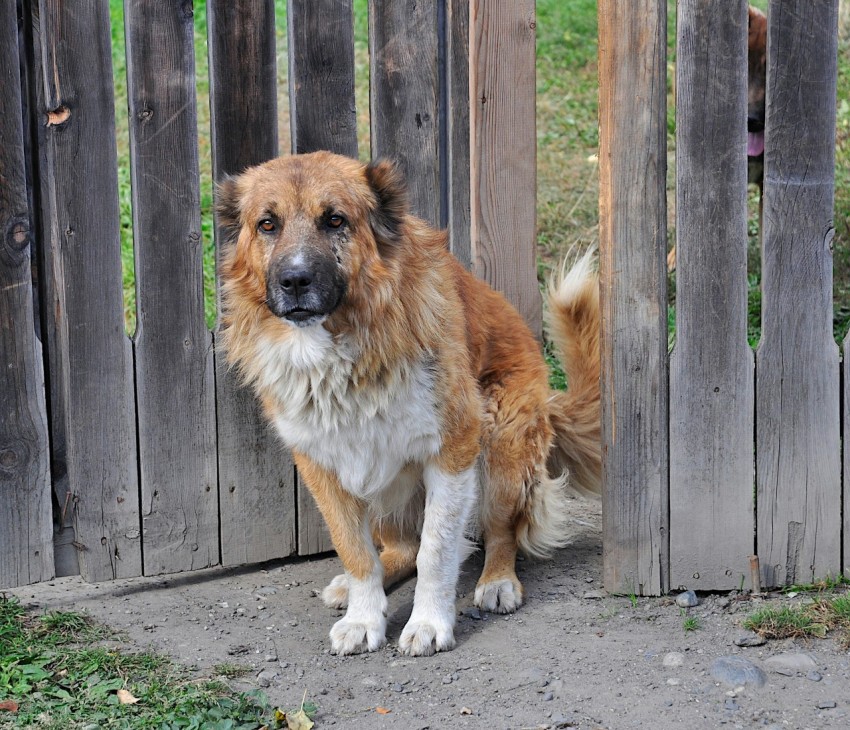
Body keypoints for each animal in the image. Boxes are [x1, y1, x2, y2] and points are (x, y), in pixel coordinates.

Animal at [219, 152, 604, 656]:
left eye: (335, 220)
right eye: (267, 224)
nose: (294, 279)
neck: (343, 350)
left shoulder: (454, 448)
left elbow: (436, 552)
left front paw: (429, 622)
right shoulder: (320, 462)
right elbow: (356, 550)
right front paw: (364, 617)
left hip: (502, 441)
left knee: (500, 532)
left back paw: (498, 581)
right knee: (397, 548)